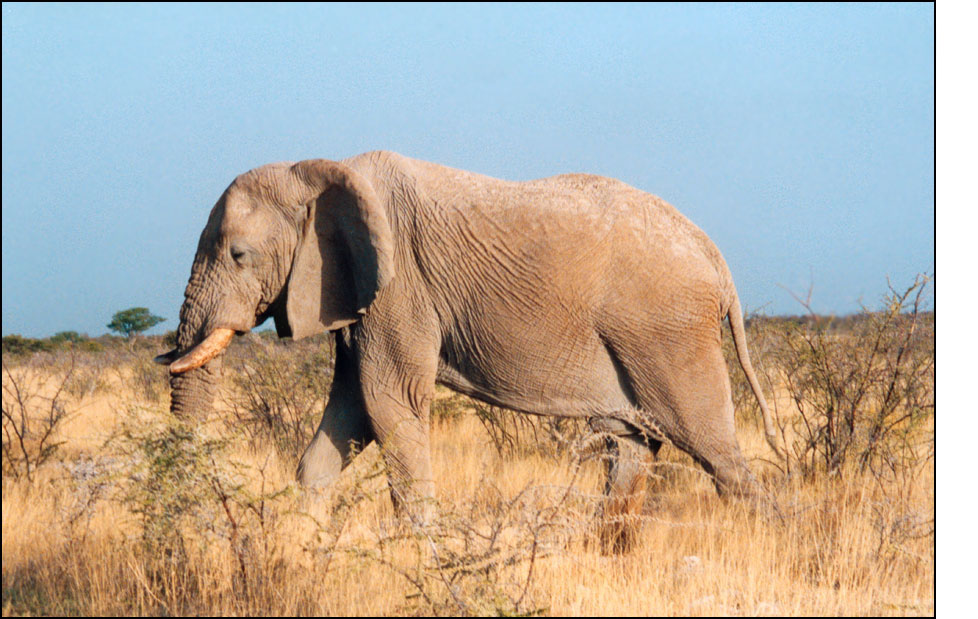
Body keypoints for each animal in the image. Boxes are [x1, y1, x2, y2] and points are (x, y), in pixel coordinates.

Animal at [155, 150, 781, 546]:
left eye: (238, 255)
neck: (320, 170)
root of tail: (714, 254)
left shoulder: (401, 289)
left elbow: (388, 405)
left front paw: (421, 553)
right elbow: (349, 414)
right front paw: (298, 544)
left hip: (667, 330)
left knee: (713, 448)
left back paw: (772, 539)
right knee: (632, 445)